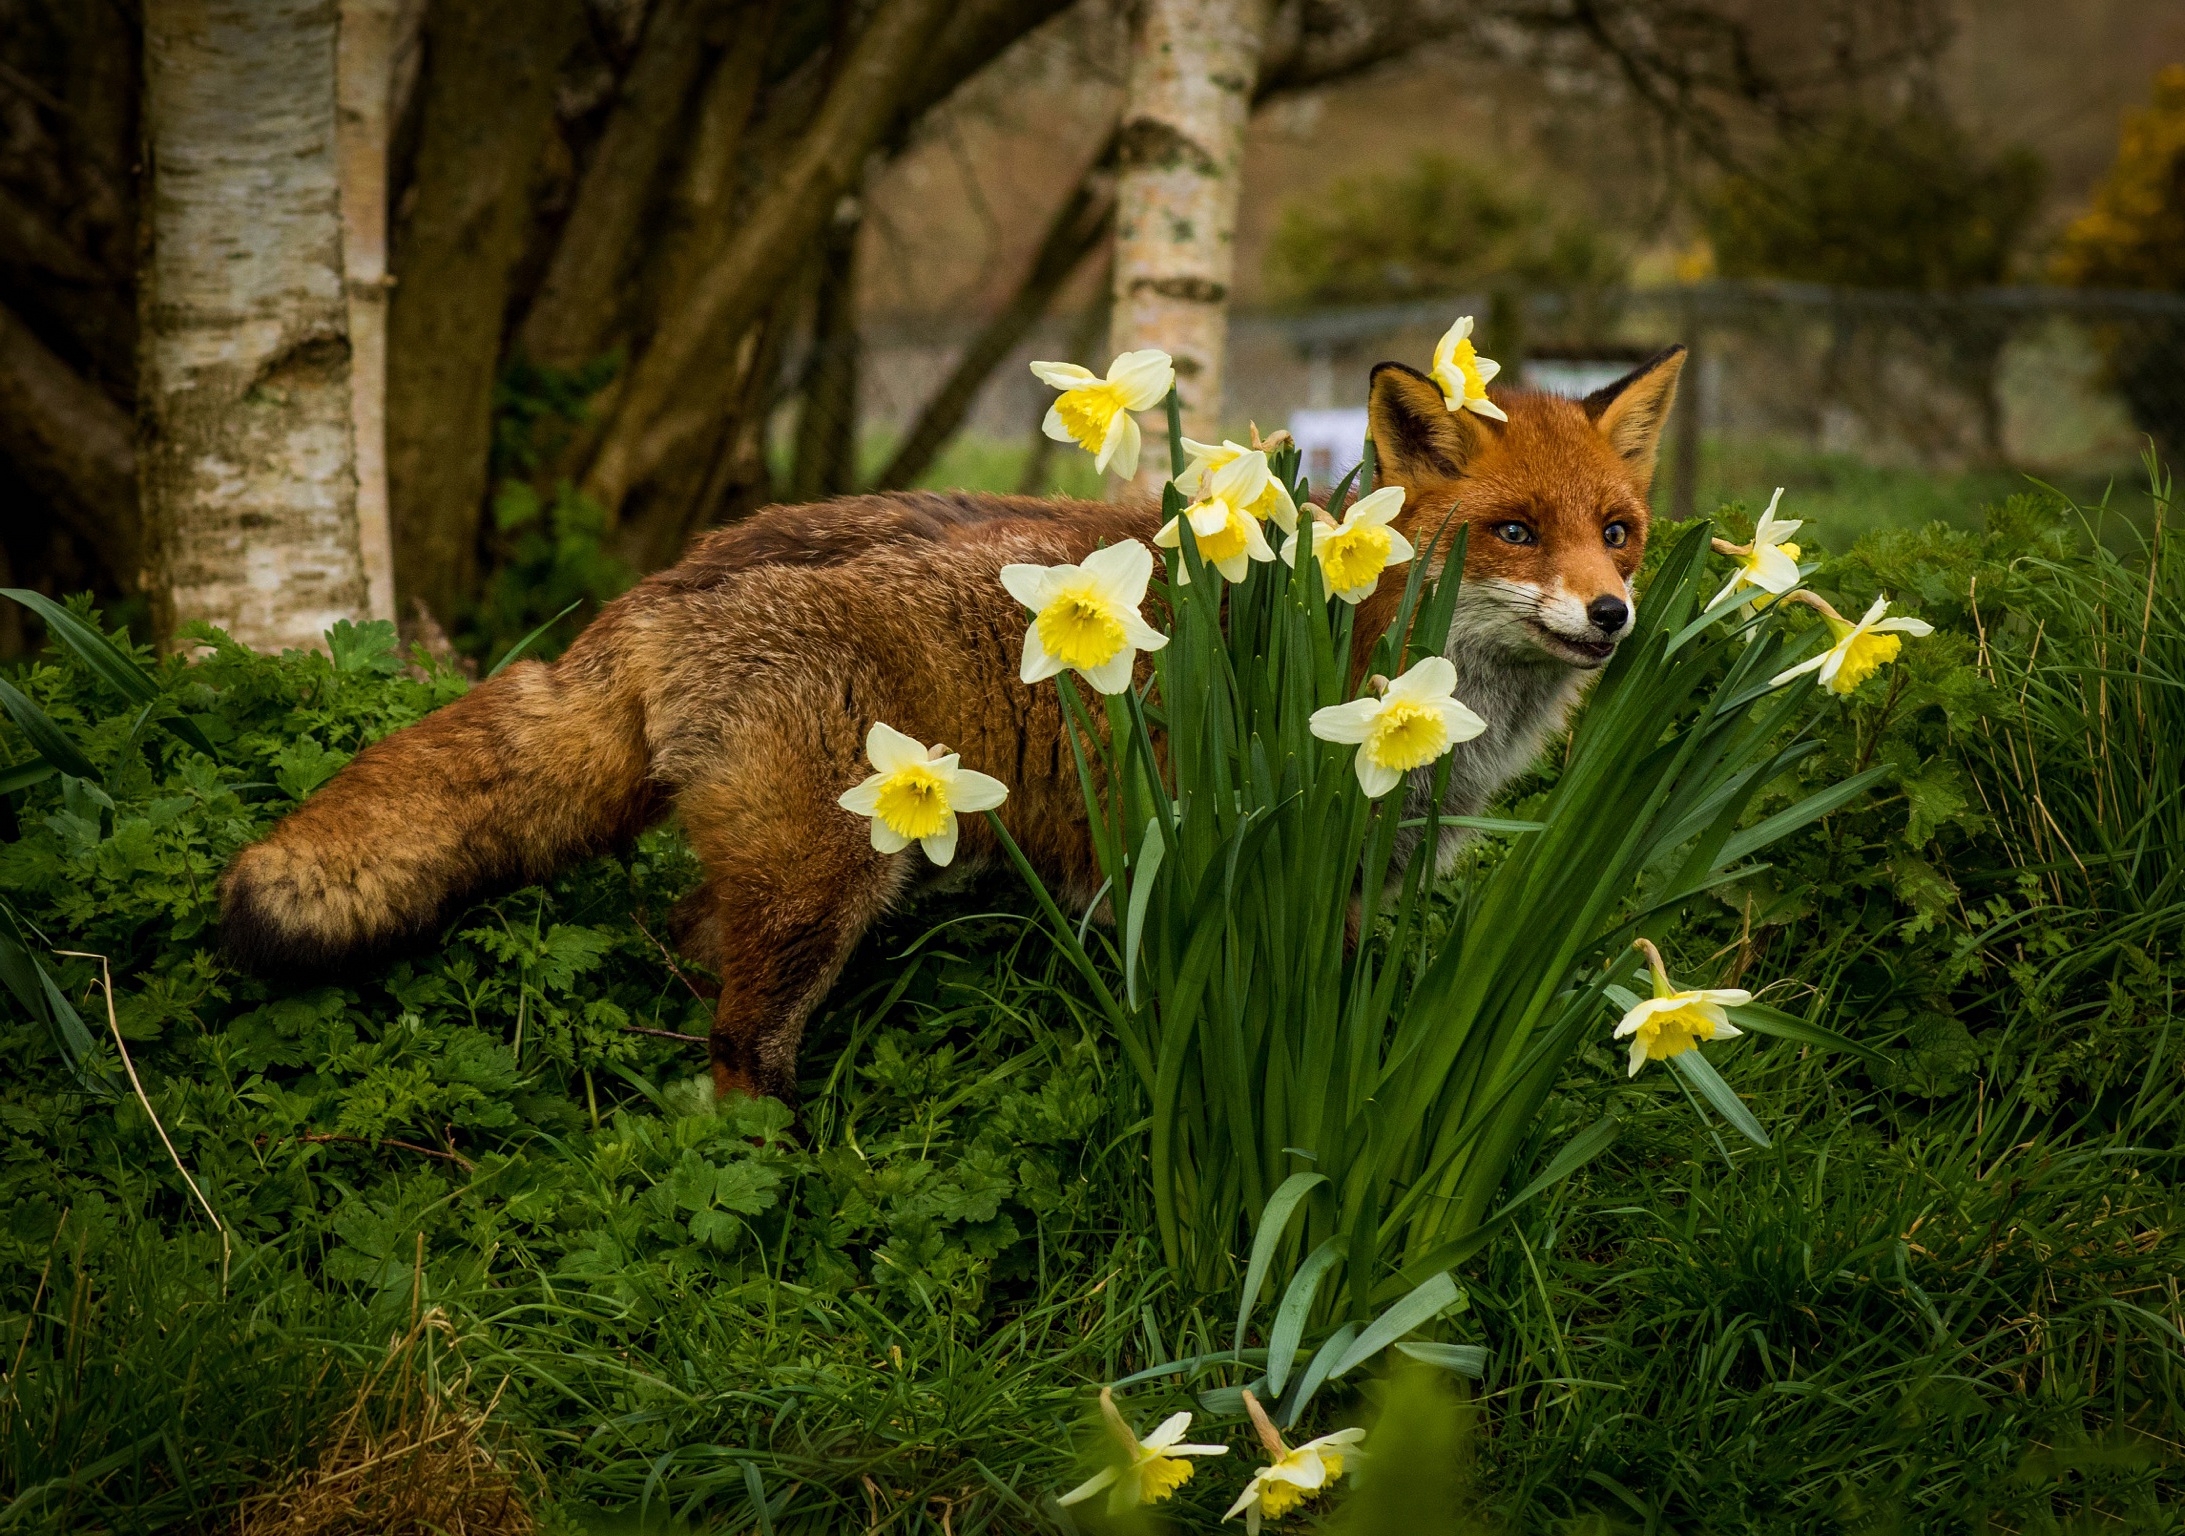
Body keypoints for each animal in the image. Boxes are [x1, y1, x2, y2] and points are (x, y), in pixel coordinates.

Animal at [217, 349, 1686, 1105]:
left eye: (1616, 530)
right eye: (1514, 532)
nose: (1611, 615)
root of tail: (667, 586)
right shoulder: (1238, 877)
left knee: (685, 953)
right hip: (820, 888)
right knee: (740, 1045)